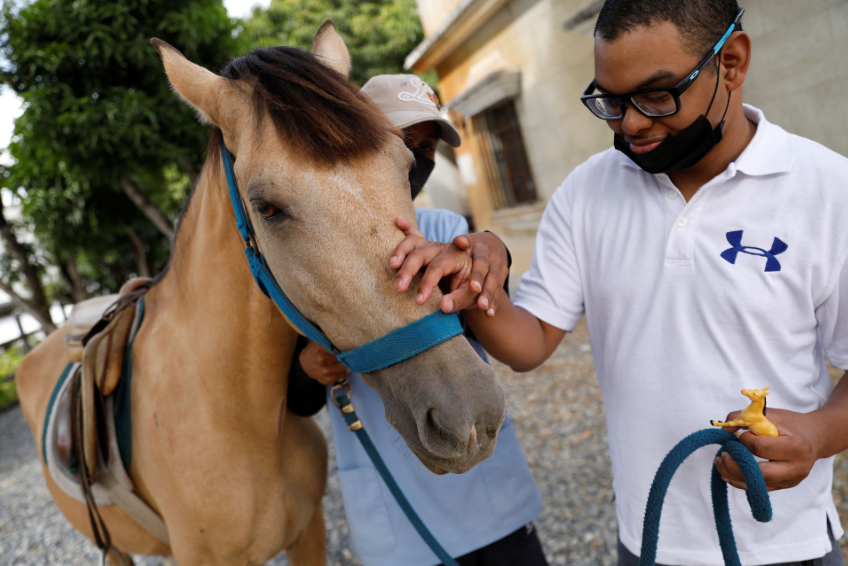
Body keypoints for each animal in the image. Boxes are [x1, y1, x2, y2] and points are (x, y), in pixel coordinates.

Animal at [14, 22, 504, 566]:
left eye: (405, 164)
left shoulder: (308, 531)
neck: (233, 421)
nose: (468, 414)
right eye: (268, 208)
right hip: (111, 544)